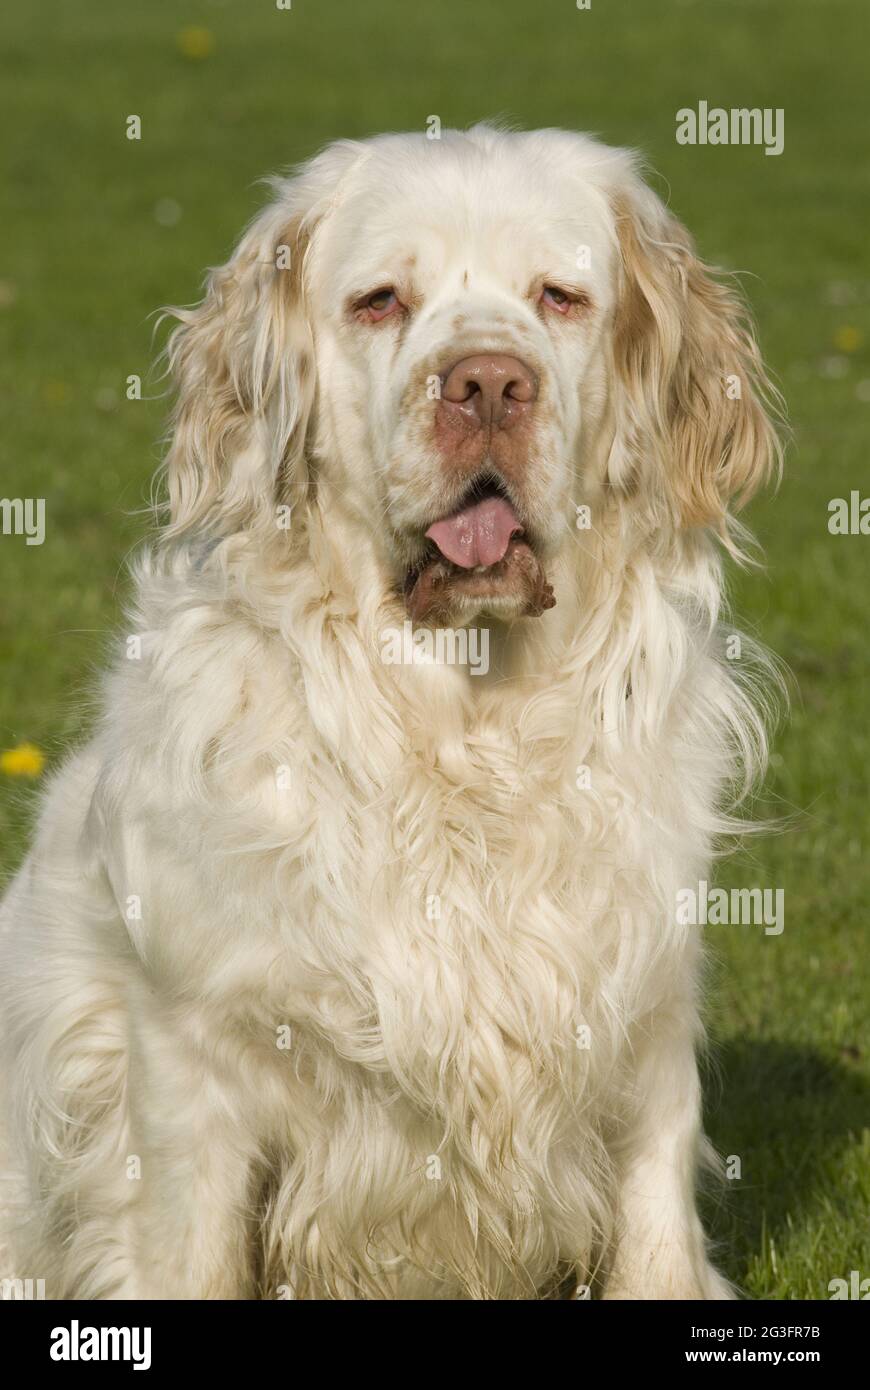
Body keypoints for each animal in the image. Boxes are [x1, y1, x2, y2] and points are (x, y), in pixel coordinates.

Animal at [0, 125, 778, 1295]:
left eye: (559, 297)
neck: (465, 732)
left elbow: (656, 1247)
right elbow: (191, 1254)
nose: (488, 383)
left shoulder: (643, 1037)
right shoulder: (189, 1062)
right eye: (378, 302)